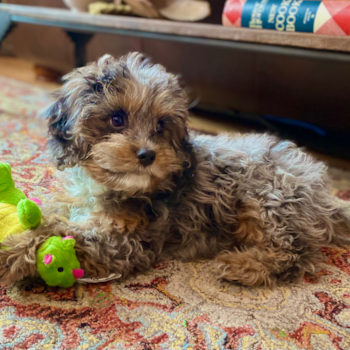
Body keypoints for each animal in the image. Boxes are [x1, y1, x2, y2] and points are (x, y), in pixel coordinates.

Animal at [0, 52, 350, 288]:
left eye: (160, 126)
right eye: (117, 119)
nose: (147, 155)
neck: (104, 185)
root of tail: (324, 194)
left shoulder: (130, 243)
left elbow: (63, 232)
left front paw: (15, 251)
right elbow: (53, 216)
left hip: (271, 198)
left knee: (296, 254)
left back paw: (243, 266)